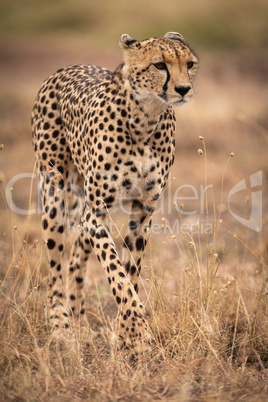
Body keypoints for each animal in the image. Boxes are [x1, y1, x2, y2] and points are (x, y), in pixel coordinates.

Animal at [31, 32, 199, 352]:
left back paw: (80, 322)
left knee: (75, 260)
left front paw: (125, 333)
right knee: (55, 267)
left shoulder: (143, 211)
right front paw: (135, 330)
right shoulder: (95, 214)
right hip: (55, 194)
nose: (184, 89)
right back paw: (61, 326)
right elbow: (115, 271)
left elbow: (130, 273)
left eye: (190, 64)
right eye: (160, 65)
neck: (146, 119)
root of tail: (66, 68)